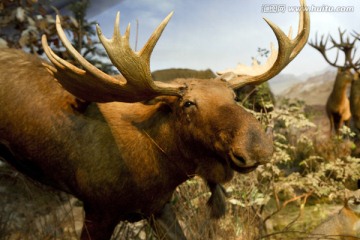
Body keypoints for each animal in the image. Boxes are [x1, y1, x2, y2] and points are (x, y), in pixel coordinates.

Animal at [0, 0, 310, 239]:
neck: (162, 167)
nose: (256, 146)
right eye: (188, 103)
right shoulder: (99, 209)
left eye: (233, 96)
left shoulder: (159, 207)